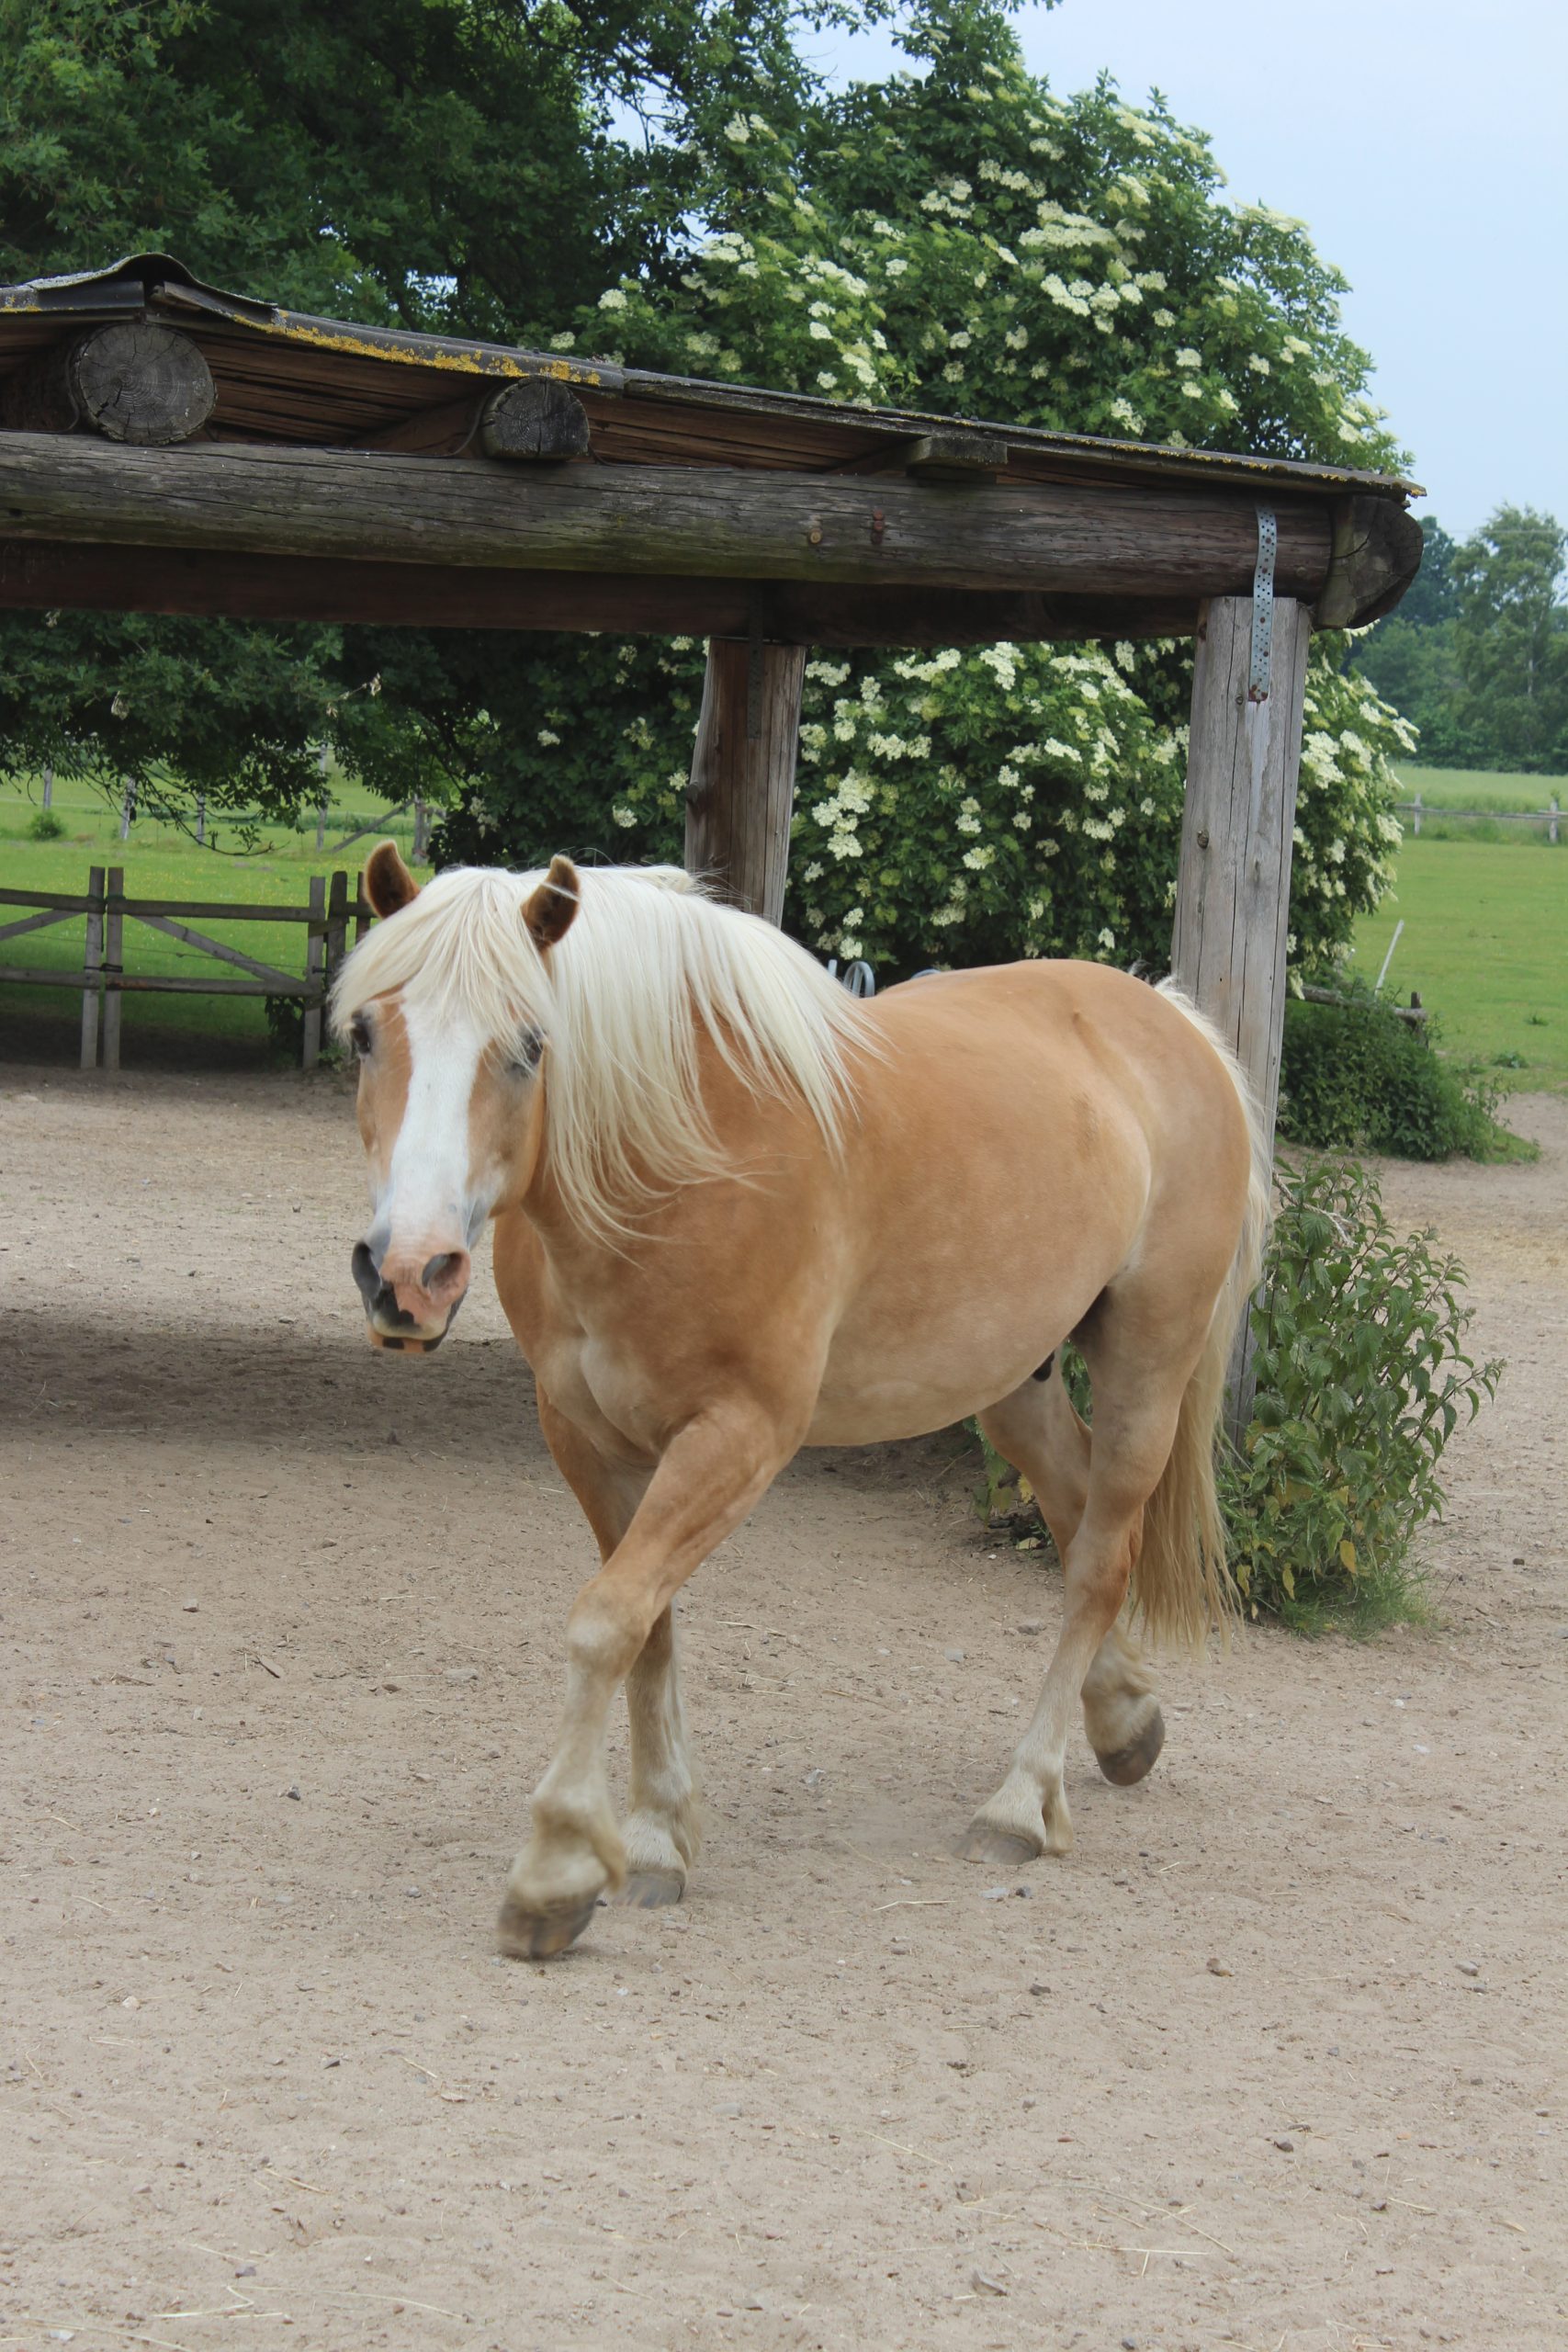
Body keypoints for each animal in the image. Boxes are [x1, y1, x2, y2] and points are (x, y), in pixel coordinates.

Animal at [333, 842, 1266, 1959]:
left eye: (527, 1044)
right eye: (365, 1032)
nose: (408, 1275)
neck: (676, 1159)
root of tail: (1171, 1019)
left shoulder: (737, 1437)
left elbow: (605, 1623)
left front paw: (555, 1871)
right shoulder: (590, 1444)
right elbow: (648, 1627)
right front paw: (654, 1838)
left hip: (1146, 1364)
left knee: (1096, 1562)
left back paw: (1018, 1803)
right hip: (1014, 1384)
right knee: (1081, 1512)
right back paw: (1123, 1720)